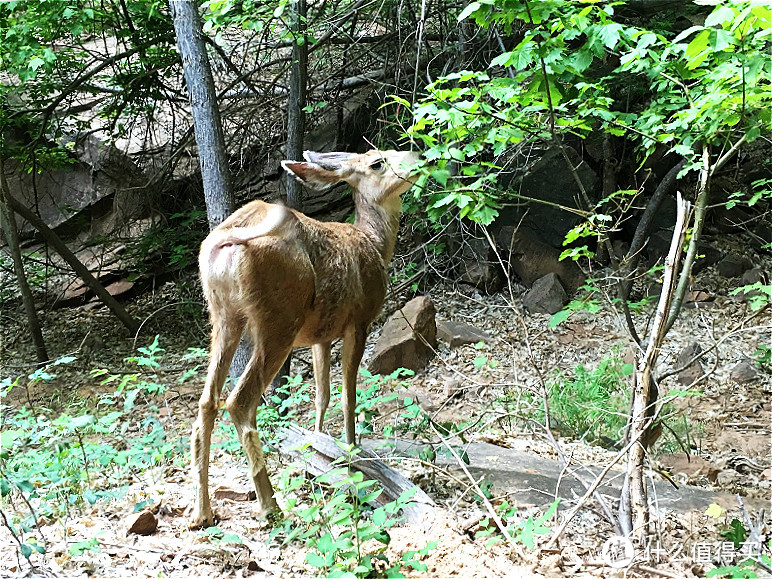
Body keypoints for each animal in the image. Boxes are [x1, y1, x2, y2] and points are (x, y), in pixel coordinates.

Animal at [191, 147, 422, 528]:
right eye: (377, 162)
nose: (421, 157)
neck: (374, 243)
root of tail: (226, 241)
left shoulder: (320, 335)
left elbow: (321, 394)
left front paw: (317, 448)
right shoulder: (358, 321)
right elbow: (348, 397)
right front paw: (351, 453)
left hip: (223, 315)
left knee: (207, 401)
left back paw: (202, 512)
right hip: (279, 319)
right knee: (239, 401)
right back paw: (270, 507)